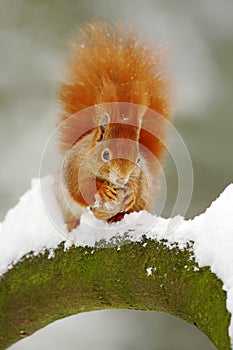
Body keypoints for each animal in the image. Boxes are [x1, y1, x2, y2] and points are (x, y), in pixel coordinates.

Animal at [54, 20, 171, 231]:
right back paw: (73, 224)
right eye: (106, 155)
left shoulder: (140, 177)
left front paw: (131, 192)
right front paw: (103, 190)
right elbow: (80, 188)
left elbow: (137, 186)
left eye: (138, 159)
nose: (122, 179)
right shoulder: (74, 168)